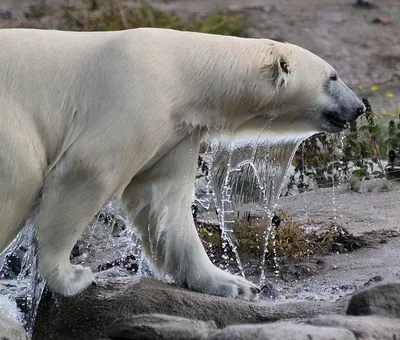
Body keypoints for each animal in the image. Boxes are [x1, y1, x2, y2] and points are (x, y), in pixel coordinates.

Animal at [0, 28, 364, 300]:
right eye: (333, 76)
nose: (359, 107)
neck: (182, 71)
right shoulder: (134, 97)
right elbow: (91, 170)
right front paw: (71, 276)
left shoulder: (178, 130)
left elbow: (163, 203)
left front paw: (233, 283)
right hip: (13, 125)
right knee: (20, 182)